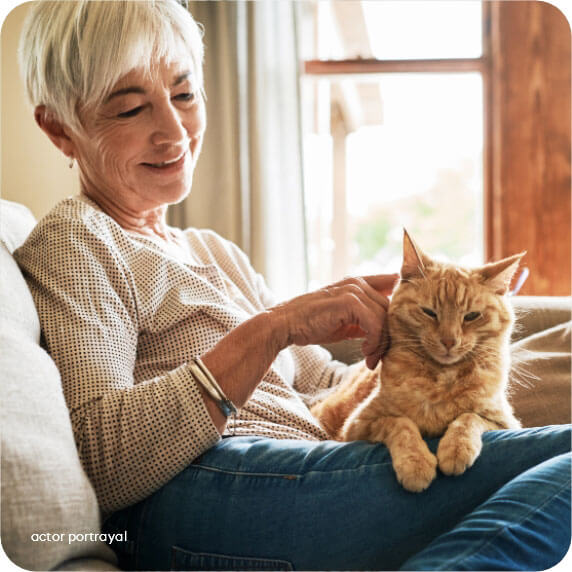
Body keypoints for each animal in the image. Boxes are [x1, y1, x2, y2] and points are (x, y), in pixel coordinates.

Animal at [312, 231, 524, 492]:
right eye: (429, 312)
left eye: (472, 316)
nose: (449, 341)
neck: (441, 378)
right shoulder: (358, 426)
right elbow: (401, 423)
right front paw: (416, 464)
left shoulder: (504, 421)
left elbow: (469, 418)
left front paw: (456, 448)